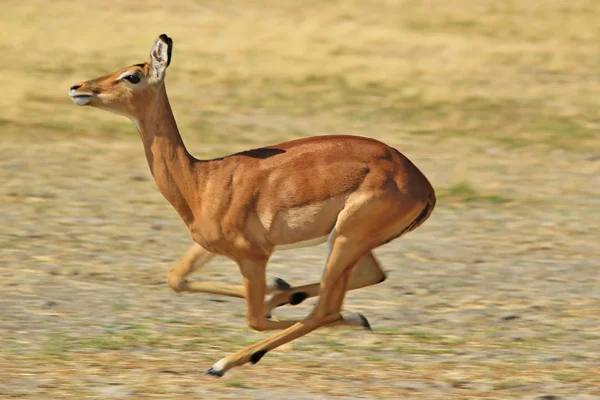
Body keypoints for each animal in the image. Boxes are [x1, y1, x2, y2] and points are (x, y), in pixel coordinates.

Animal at [69, 35, 436, 378]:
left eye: (132, 76)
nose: (78, 88)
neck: (202, 180)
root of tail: (422, 185)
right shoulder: (209, 246)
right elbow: (176, 278)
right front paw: (281, 289)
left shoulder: (253, 256)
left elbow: (255, 318)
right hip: (349, 243)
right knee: (369, 276)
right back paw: (311, 304)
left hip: (347, 239)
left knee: (325, 310)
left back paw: (225, 362)